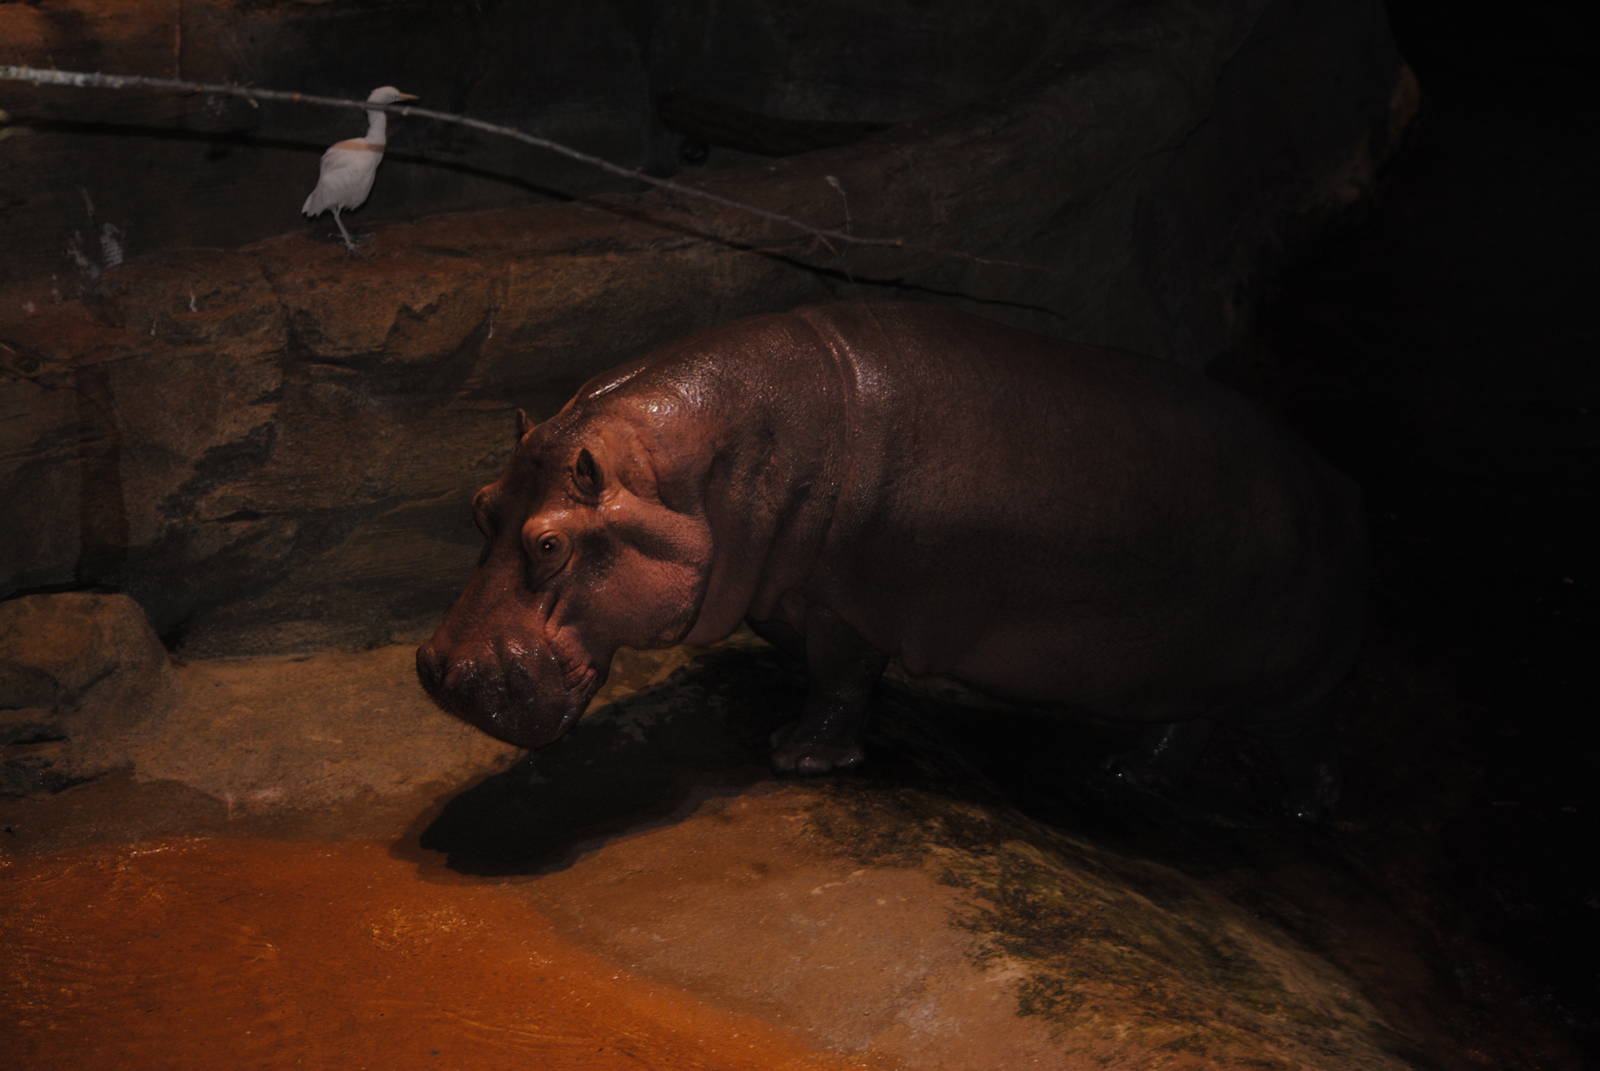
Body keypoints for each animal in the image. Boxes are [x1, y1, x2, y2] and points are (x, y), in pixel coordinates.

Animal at [417, 301, 1365, 817]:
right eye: (481, 506)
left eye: (549, 543)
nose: (435, 668)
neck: (711, 470)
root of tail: (1334, 485)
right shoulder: (787, 593)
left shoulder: (845, 605)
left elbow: (841, 681)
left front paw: (797, 755)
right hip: (1190, 670)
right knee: (1187, 720)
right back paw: (1129, 773)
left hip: (1299, 680)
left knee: (1312, 736)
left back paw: (1304, 805)